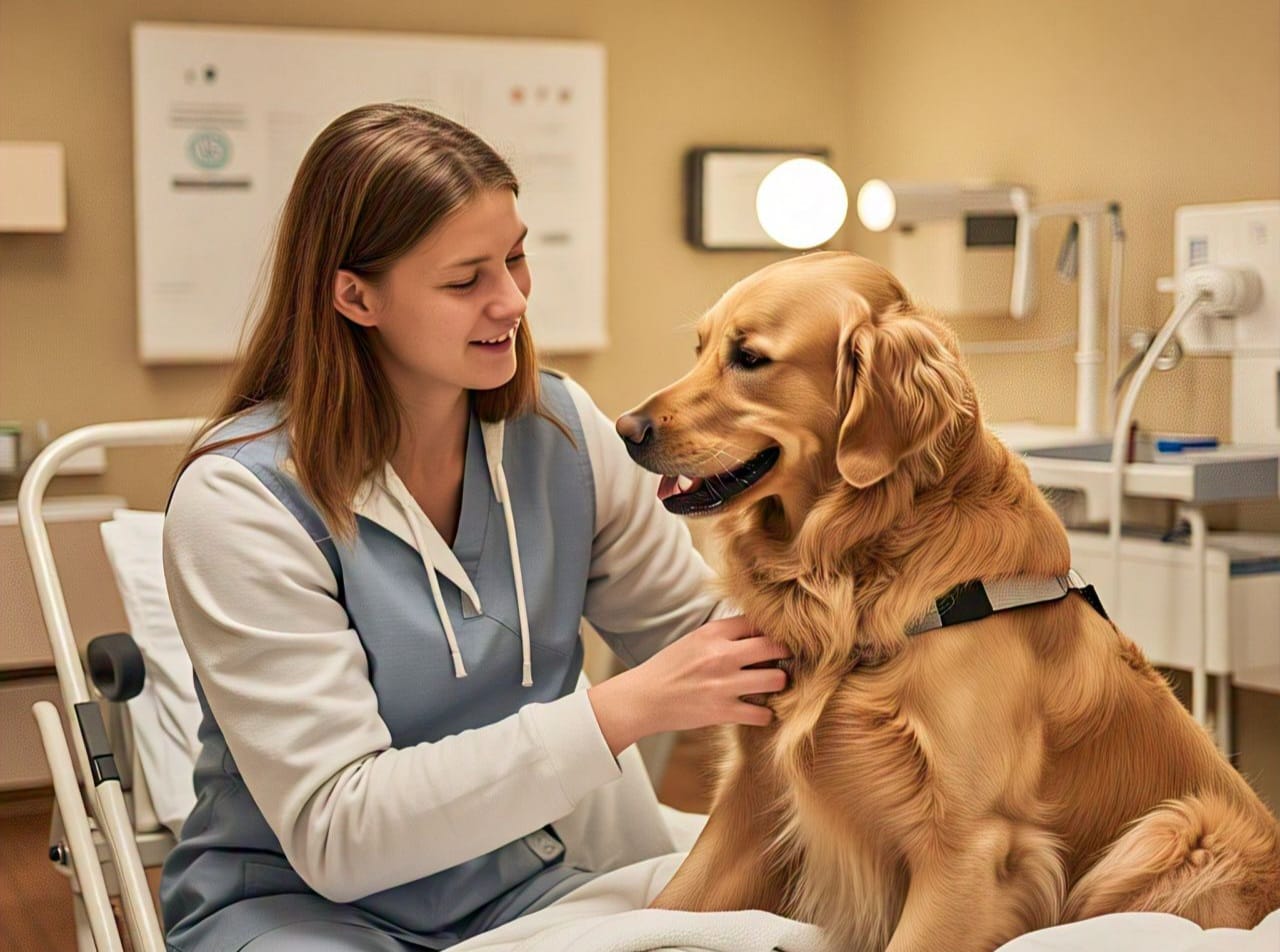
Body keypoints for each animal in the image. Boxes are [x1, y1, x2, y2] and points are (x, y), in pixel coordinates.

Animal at [614, 253, 1274, 952]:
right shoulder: (755, 790)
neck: (852, 571)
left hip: (1180, 829)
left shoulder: (975, 845)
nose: (625, 429)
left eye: (749, 358)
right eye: (700, 349)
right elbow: (667, 905)